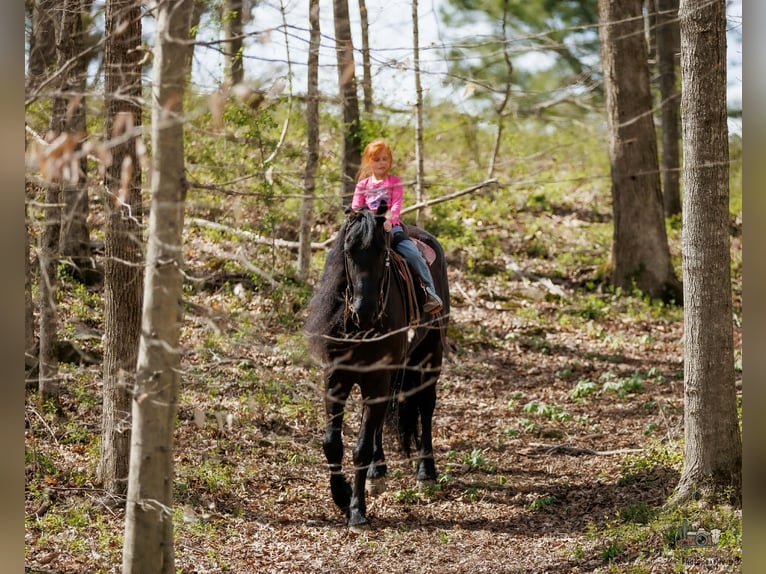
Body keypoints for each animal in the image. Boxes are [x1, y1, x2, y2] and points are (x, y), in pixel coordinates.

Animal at [305, 205, 450, 531]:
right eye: (348, 250)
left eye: (383, 252)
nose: (365, 311)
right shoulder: (336, 380)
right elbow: (332, 443)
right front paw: (341, 496)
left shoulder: (376, 380)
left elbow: (360, 448)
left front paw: (357, 511)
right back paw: (377, 472)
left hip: (429, 357)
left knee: (425, 406)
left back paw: (426, 473)